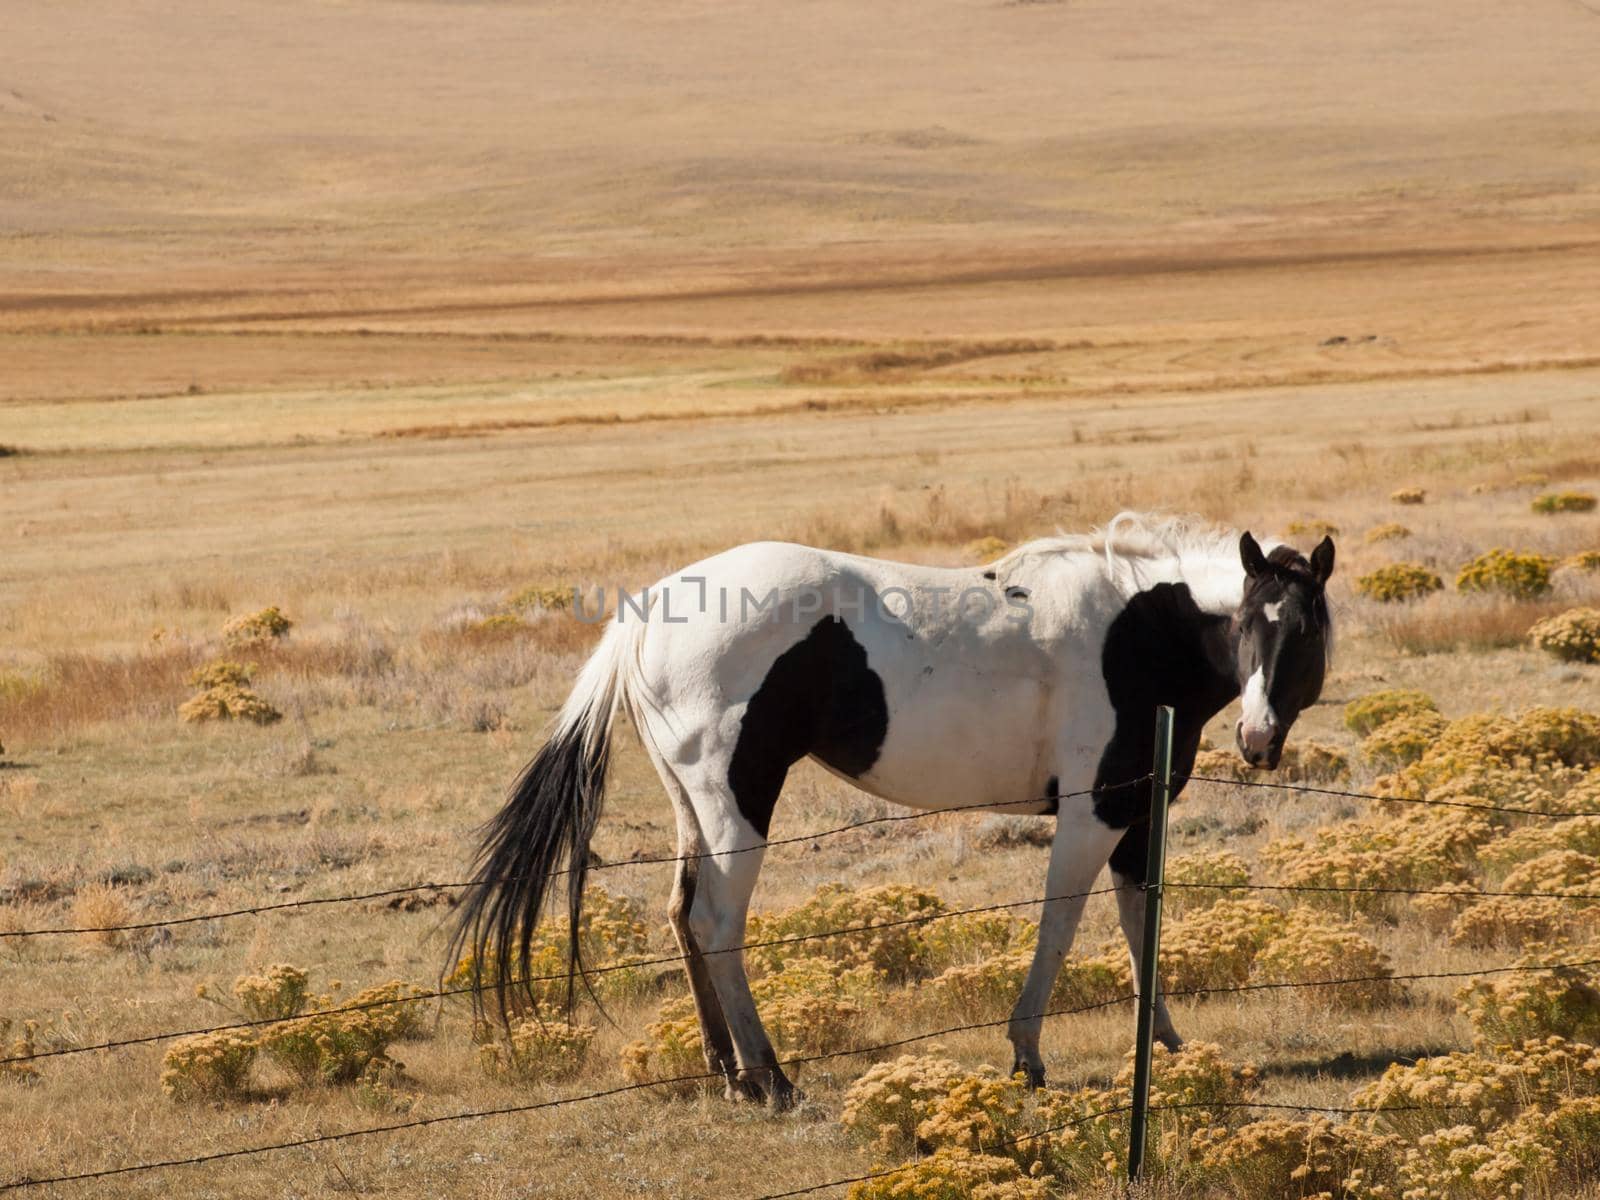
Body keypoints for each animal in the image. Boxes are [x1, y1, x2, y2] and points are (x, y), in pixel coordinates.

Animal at [454, 512, 1337, 1113]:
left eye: (1304, 631)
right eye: (1248, 625)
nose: (1259, 740)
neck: (1140, 630)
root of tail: (645, 612)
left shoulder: (1137, 816)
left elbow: (1139, 926)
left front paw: (1170, 1049)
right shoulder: (1093, 815)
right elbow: (1059, 926)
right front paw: (1027, 1056)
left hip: (690, 810)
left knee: (680, 916)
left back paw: (726, 1069)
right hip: (739, 805)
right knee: (716, 925)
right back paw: (771, 1078)